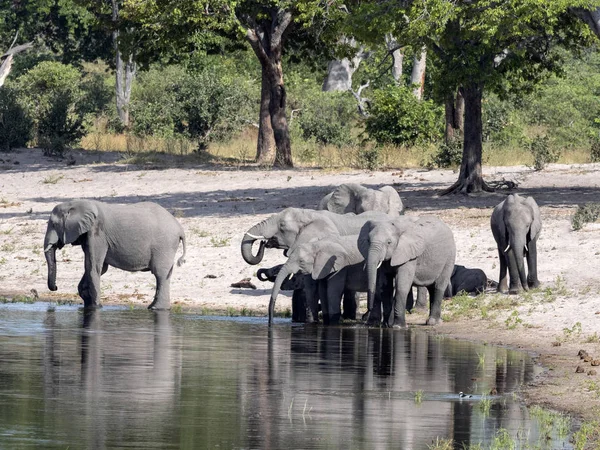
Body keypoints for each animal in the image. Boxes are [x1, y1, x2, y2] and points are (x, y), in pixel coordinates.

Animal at [43, 200, 185, 310]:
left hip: (164, 245)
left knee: (160, 274)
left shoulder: (97, 233)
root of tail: (180, 228)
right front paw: (88, 302)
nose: (56, 287)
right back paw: (154, 308)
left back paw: (157, 308)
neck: (77, 203)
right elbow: (99, 268)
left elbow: (93, 266)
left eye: (54, 224)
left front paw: (96, 307)